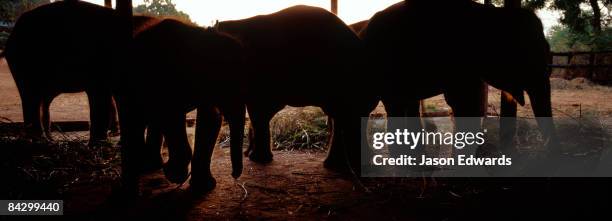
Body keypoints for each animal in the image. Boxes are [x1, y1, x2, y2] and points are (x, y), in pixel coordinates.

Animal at [125, 18, 246, 192]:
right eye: (224, 83)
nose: (234, 175)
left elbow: (210, 118)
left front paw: (203, 187)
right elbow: (169, 114)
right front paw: (175, 175)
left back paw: (151, 165)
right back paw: (143, 166)